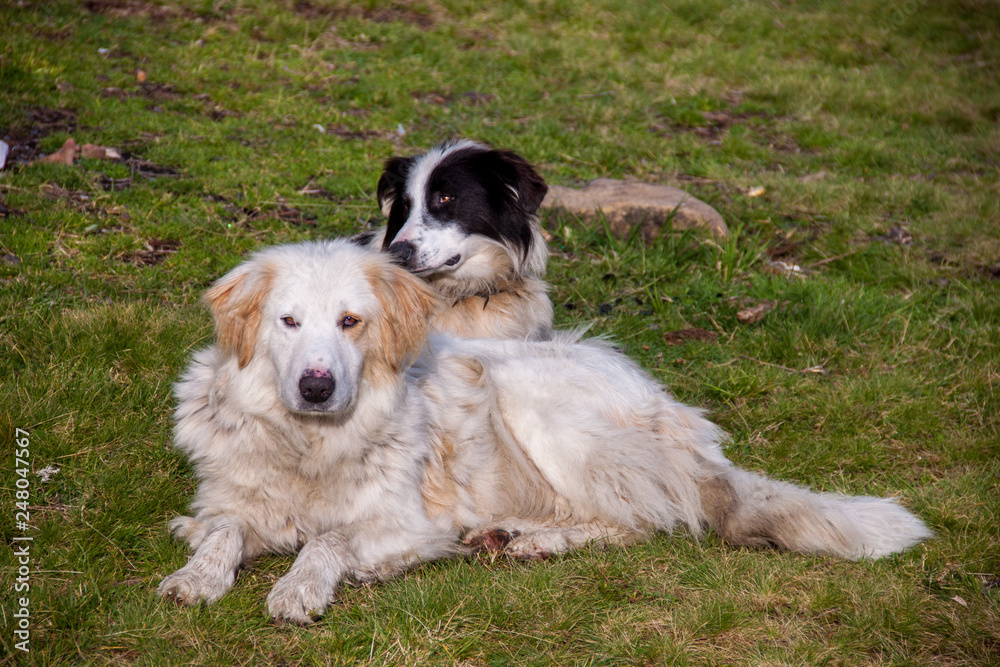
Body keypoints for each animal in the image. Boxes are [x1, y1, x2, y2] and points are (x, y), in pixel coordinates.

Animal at [160, 241, 932, 628]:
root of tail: (672, 405)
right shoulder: (235, 502)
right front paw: (196, 574)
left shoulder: (408, 522)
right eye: (288, 322)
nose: (317, 385)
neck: (310, 444)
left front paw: (301, 588)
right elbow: (226, 529)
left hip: (535, 406)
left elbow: (329, 539)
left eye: (352, 322)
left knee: (642, 519)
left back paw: (534, 541)